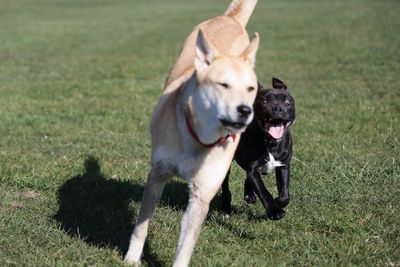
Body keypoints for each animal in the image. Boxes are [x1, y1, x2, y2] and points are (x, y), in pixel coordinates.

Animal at [222, 78, 294, 221]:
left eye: (287, 102)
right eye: (264, 101)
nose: (278, 109)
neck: (270, 143)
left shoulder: (283, 165)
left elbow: (284, 193)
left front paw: (278, 202)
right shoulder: (254, 168)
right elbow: (263, 190)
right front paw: (274, 211)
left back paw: (249, 196)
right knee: (225, 187)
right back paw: (225, 209)